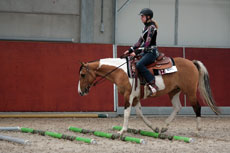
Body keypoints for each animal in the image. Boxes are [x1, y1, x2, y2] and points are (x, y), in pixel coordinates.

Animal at [78, 55, 220, 135]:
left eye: (83, 75)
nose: (80, 92)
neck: (121, 71)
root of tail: (191, 62)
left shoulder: (128, 96)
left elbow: (127, 113)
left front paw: (122, 131)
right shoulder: (136, 98)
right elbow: (140, 114)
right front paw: (154, 128)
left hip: (190, 92)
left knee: (197, 107)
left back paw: (197, 130)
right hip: (174, 91)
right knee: (177, 107)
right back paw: (163, 127)